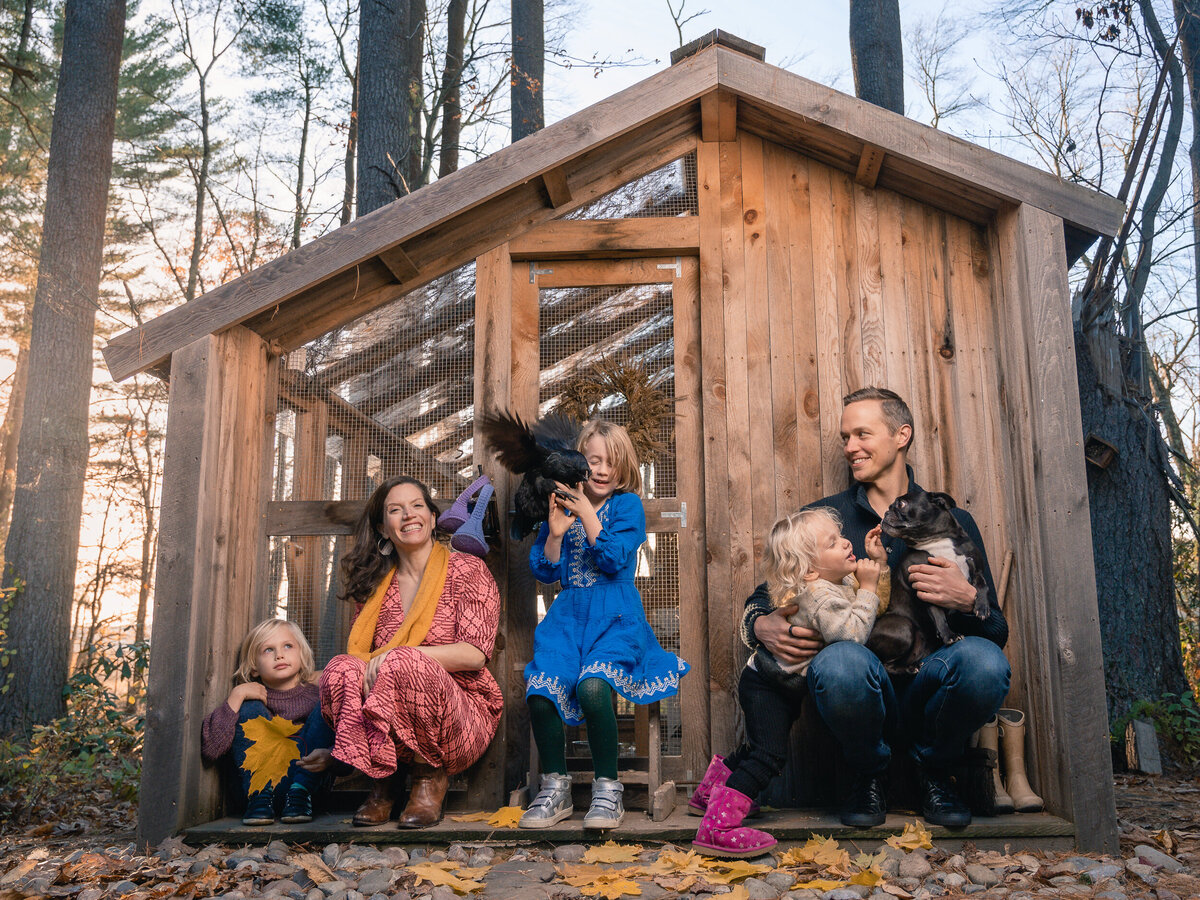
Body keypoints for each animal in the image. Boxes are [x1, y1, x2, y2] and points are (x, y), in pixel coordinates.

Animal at [868, 489, 988, 672]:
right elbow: (938, 614)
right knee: (886, 664)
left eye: (901, 504)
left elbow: (982, 585)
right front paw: (949, 635)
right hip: (903, 627)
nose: (886, 512)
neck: (937, 541)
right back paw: (910, 668)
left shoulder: (976, 569)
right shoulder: (926, 588)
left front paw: (982, 607)